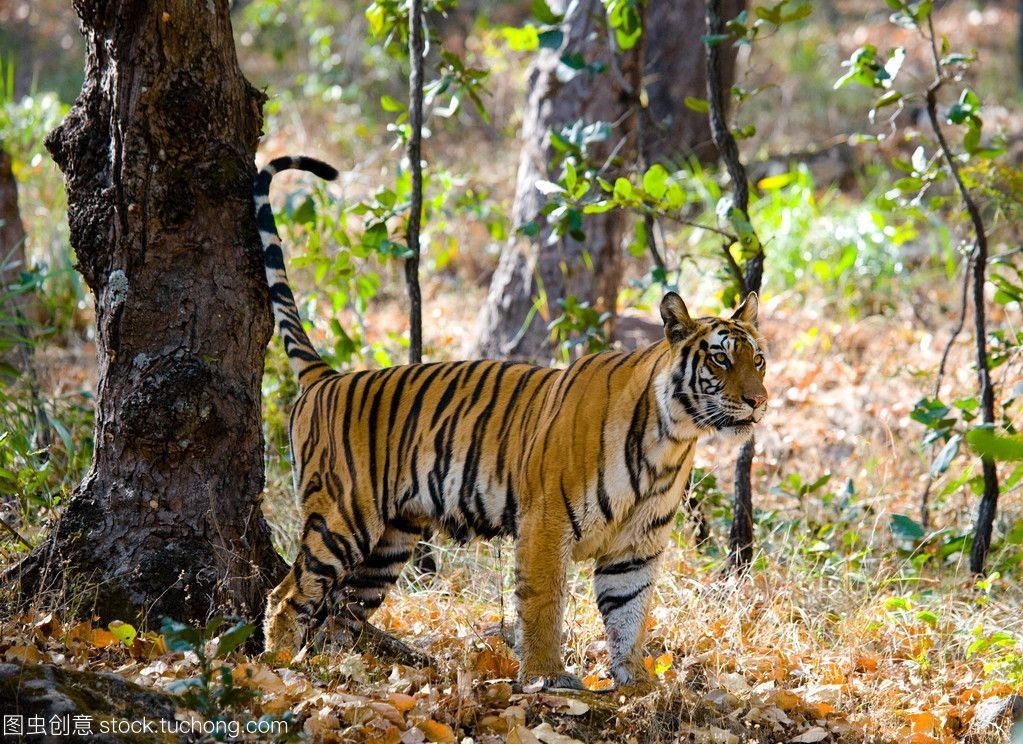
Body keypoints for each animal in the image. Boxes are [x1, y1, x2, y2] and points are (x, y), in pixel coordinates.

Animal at [253, 156, 769, 690]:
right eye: (720, 360)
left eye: (758, 360)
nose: (758, 400)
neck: (672, 439)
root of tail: (327, 378)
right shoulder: (545, 521)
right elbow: (544, 602)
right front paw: (547, 677)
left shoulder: (636, 547)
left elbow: (629, 614)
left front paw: (637, 682)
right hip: (343, 517)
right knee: (287, 596)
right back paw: (278, 669)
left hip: (388, 544)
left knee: (341, 611)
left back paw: (340, 672)